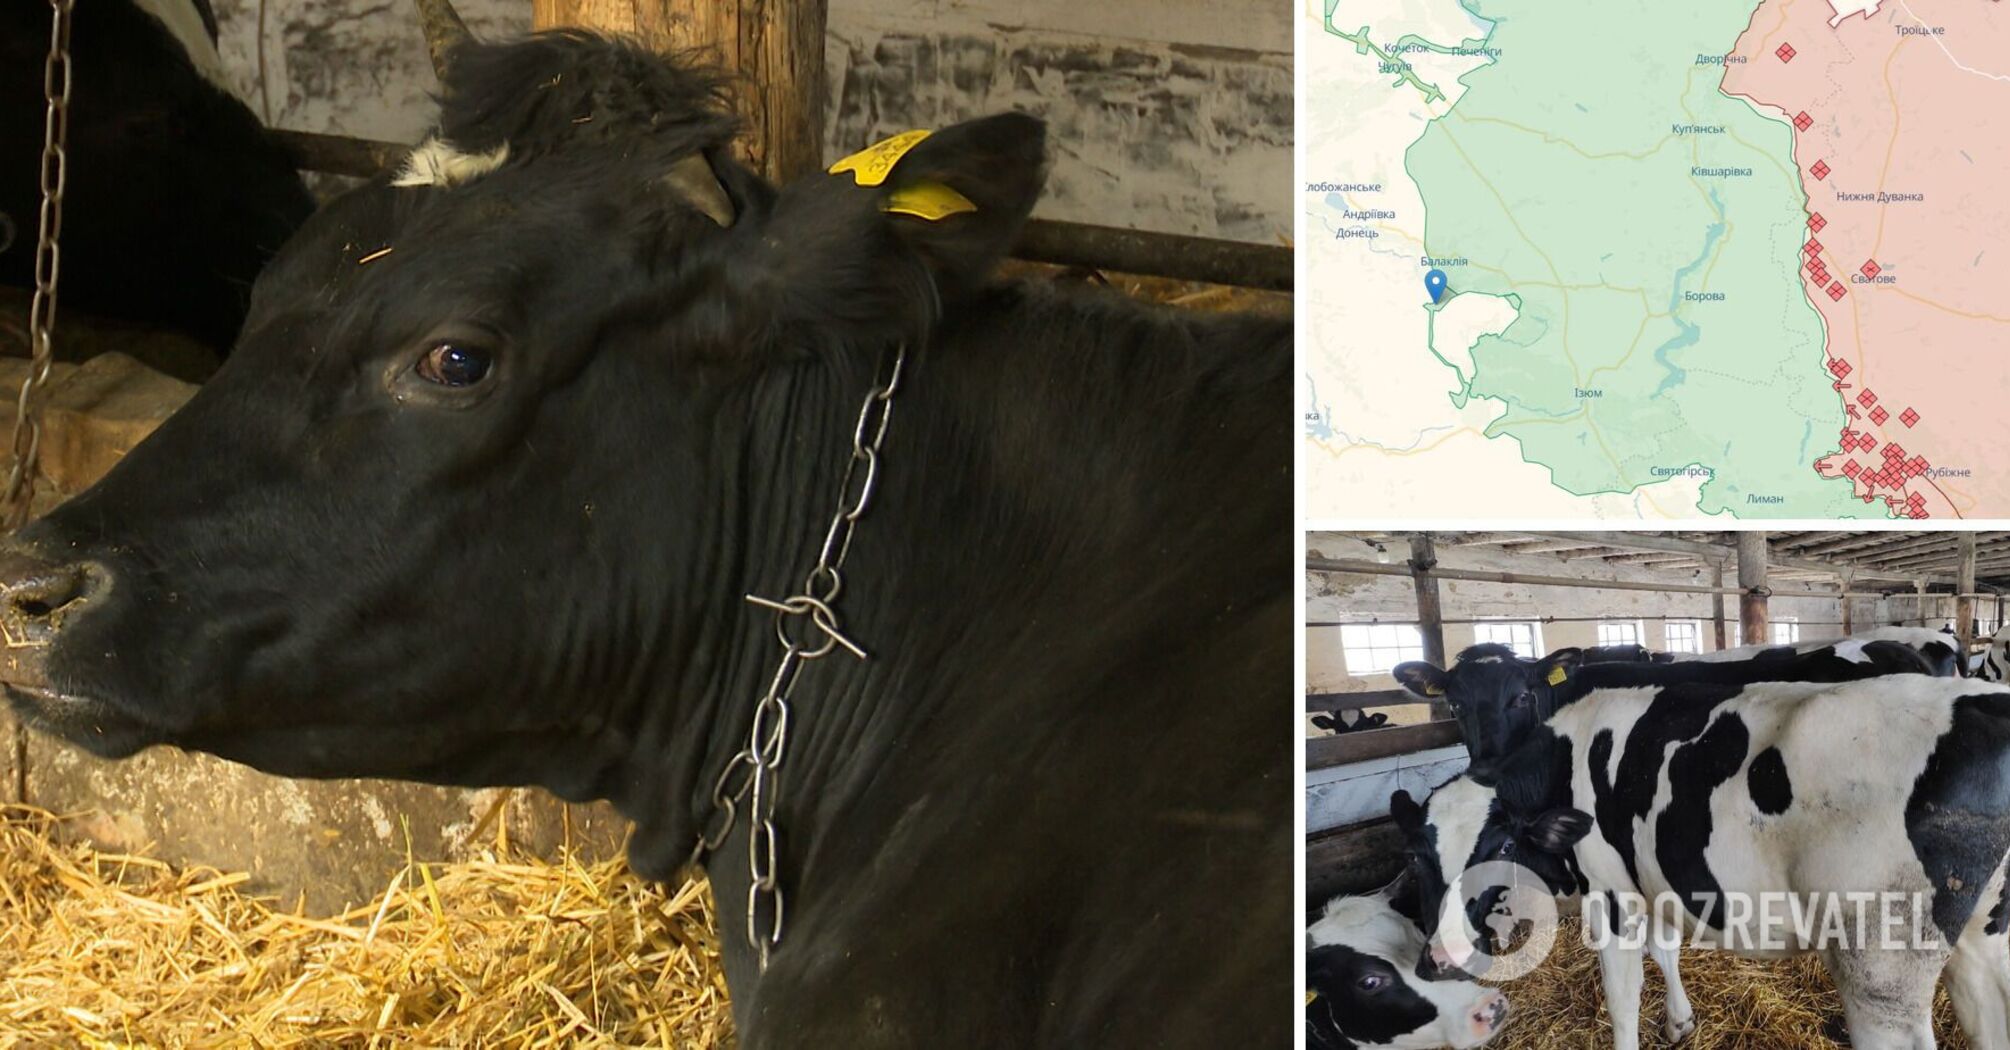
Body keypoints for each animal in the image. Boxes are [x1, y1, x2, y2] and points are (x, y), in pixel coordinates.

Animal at [1395, 675, 2010, 1050]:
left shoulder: (1611, 893)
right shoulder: (1652, 882)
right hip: (1984, 941)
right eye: (1418, 857)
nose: (1439, 959)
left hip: (1880, 967)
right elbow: (1665, 949)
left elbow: (1622, 997)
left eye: (1500, 848)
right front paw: (1680, 1019)